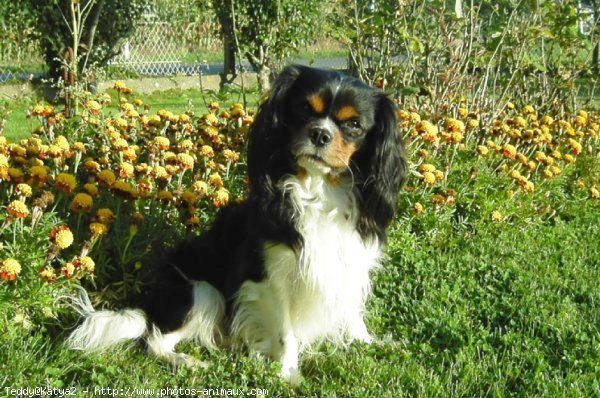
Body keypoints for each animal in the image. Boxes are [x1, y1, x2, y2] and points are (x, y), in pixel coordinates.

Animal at [69, 64, 408, 382]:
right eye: (302, 109)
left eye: (353, 125)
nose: (320, 134)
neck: (321, 190)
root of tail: (149, 302)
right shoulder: (270, 275)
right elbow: (286, 332)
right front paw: (288, 373)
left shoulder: (348, 262)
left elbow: (352, 310)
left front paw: (369, 343)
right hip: (202, 291)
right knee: (153, 340)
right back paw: (188, 362)